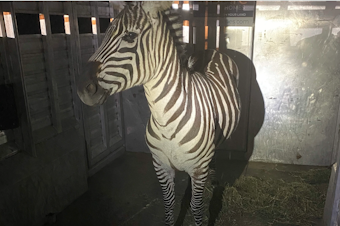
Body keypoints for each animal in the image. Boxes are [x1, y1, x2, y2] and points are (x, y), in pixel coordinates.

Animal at [77, 2, 242, 226]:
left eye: (130, 36)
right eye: (105, 33)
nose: (82, 89)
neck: (166, 121)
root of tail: (211, 50)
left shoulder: (199, 169)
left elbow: (197, 208)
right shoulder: (160, 165)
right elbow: (169, 203)